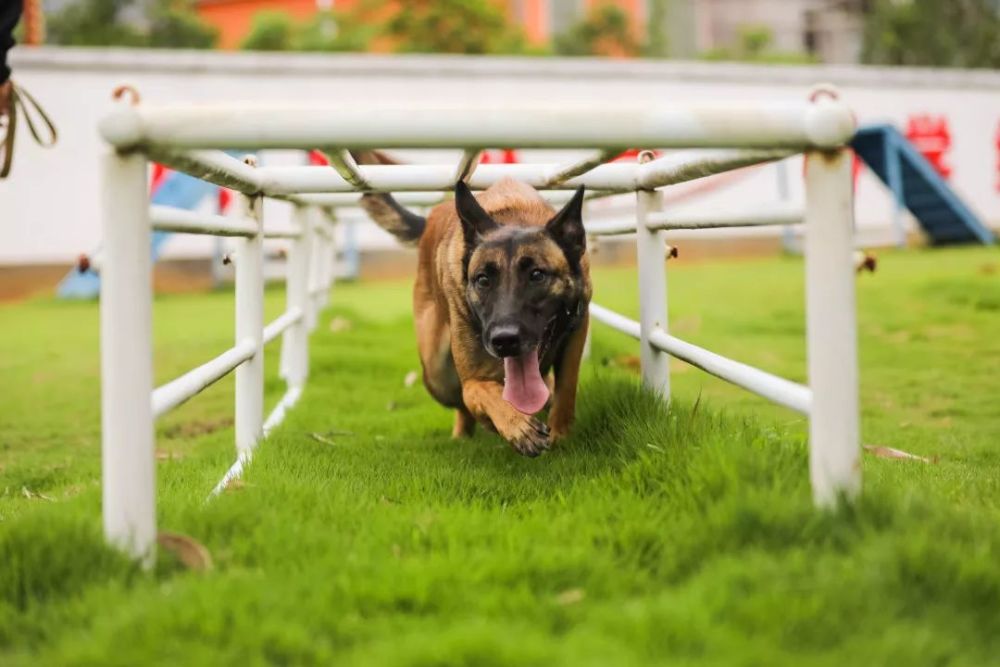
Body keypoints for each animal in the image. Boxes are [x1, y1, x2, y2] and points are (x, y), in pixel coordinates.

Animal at [358, 159, 588, 456]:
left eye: (537, 275)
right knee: (462, 406)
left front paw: (561, 435)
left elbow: (566, 389)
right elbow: (480, 392)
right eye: (483, 280)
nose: (504, 340)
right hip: (437, 376)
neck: (515, 217)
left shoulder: (578, 329)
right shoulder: (471, 381)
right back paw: (463, 436)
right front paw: (517, 426)